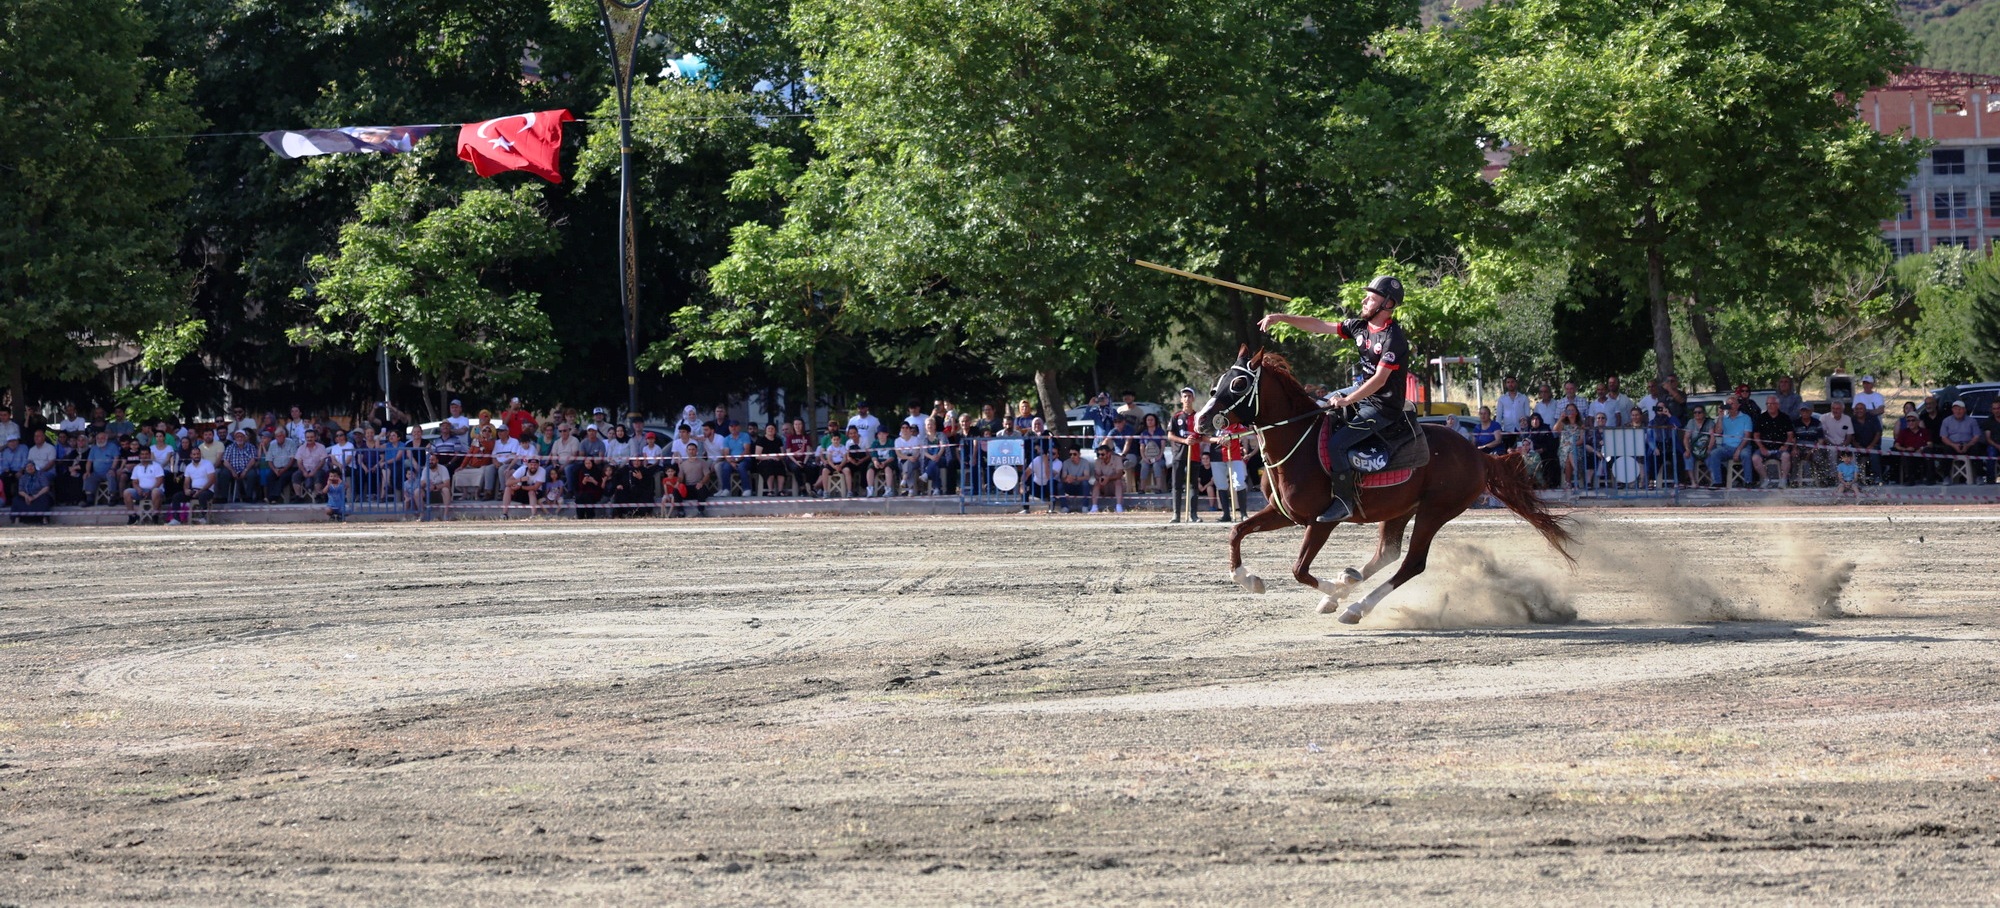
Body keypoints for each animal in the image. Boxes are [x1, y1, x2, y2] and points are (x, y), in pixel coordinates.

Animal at [1192, 350, 1568, 624]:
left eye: (1239, 383)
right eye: (1219, 381)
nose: (1200, 419)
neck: (1300, 443)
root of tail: (1477, 454)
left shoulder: (1322, 521)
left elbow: (1299, 570)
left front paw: (1336, 588)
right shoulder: (1283, 513)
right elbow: (1237, 531)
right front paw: (1249, 579)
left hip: (1434, 511)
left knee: (1412, 563)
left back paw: (1353, 605)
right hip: (1400, 510)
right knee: (1387, 552)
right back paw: (1346, 587)